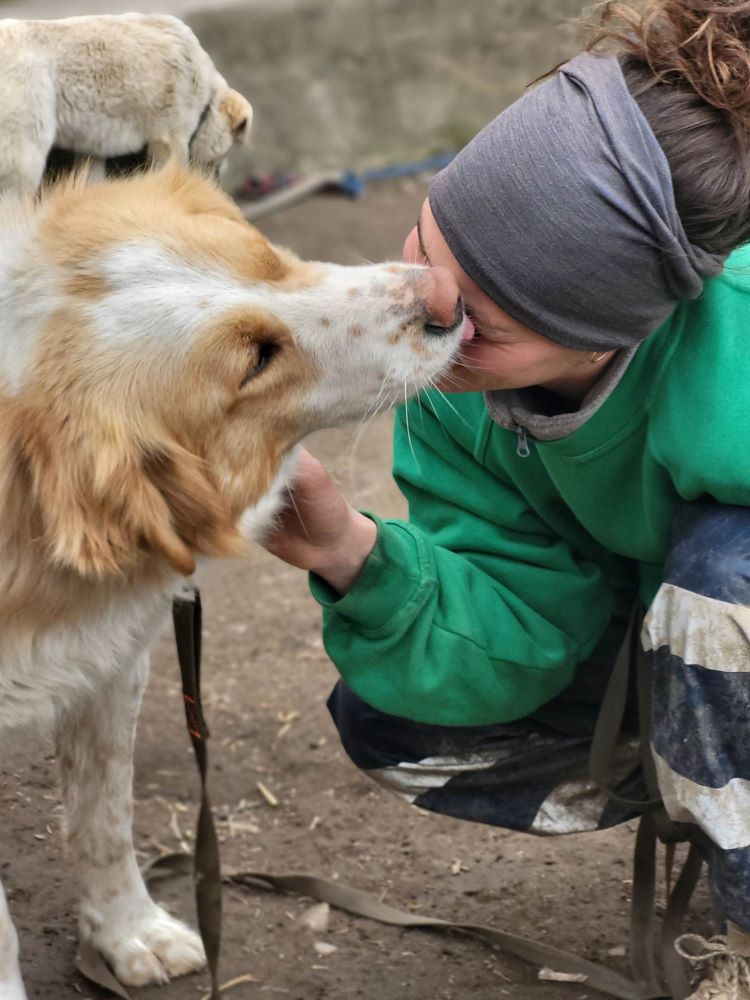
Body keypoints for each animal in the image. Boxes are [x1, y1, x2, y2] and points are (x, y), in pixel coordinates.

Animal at [0, 13, 254, 197]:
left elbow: (91, 165)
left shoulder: (95, 130)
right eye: (224, 153)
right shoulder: (173, 103)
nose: (216, 182)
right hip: (28, 90)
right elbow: (168, 154)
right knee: (20, 171)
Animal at [0, 166, 468, 1000]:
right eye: (255, 359)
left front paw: (130, 934)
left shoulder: (108, 664)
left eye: (266, 254)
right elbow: (2, 929)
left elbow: (104, 817)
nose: (446, 292)